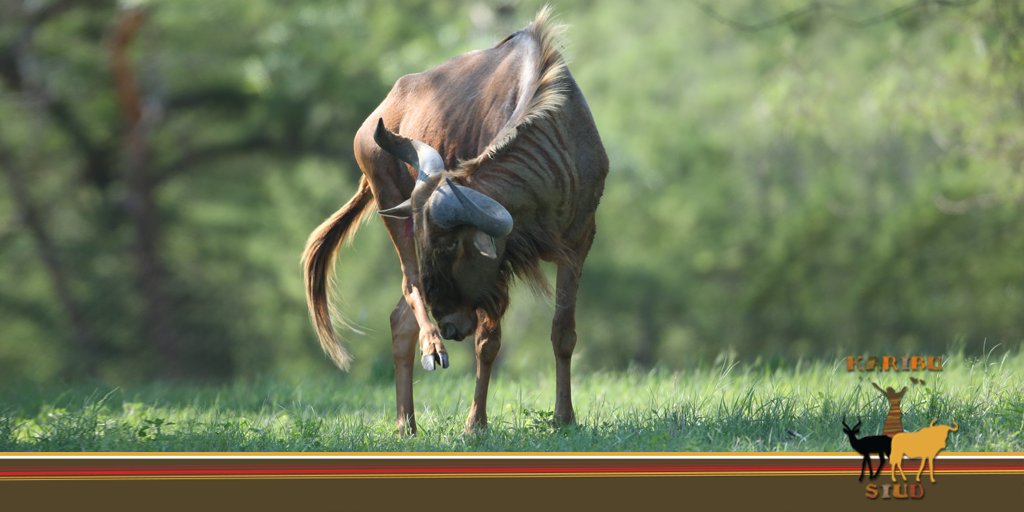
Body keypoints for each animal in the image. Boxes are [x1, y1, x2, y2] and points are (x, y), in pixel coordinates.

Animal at [302, 7, 608, 434]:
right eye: (429, 244)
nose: (449, 324)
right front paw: (475, 423)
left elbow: (563, 332)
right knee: (409, 295)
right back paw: (430, 359)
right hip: (389, 207)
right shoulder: (497, 270)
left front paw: (564, 418)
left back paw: (407, 423)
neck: (558, 146)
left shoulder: (576, 244)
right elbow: (488, 342)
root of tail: (372, 122)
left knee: (400, 317)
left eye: (450, 245)